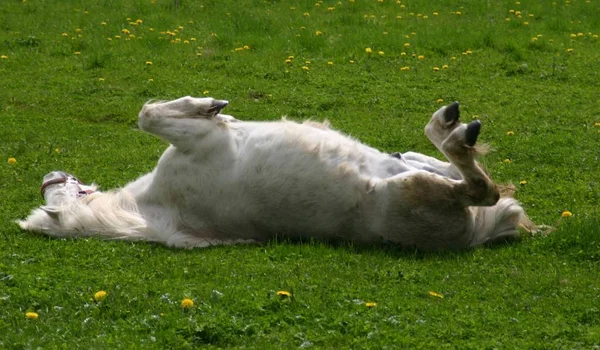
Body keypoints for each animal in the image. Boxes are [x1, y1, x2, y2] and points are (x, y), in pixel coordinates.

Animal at [17, 95, 536, 249]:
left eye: (52, 194)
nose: (50, 176)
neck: (148, 209)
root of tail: (474, 236)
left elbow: (149, 114)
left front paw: (214, 108)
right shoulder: (196, 144)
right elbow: (148, 115)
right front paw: (208, 106)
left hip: (412, 167)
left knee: (428, 157)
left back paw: (443, 129)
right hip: (416, 191)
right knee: (481, 188)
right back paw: (455, 131)